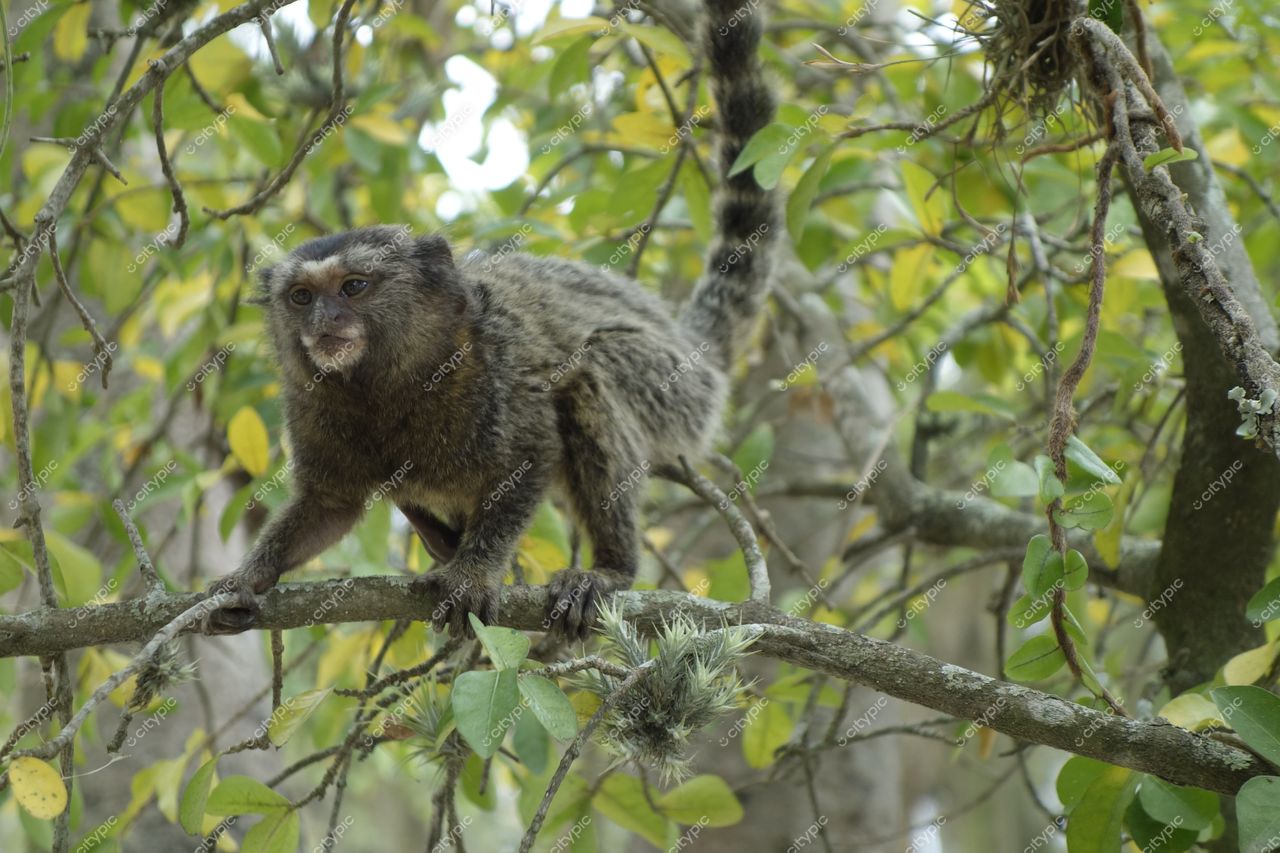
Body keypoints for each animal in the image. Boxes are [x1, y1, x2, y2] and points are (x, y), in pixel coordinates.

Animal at [204, 0, 777, 640]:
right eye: (302, 297)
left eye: (353, 288)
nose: (324, 319)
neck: (388, 382)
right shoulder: (310, 407)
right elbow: (329, 506)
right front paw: (250, 576)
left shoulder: (493, 377)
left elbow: (527, 462)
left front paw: (474, 572)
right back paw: (439, 539)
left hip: (676, 385)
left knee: (593, 373)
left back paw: (609, 570)